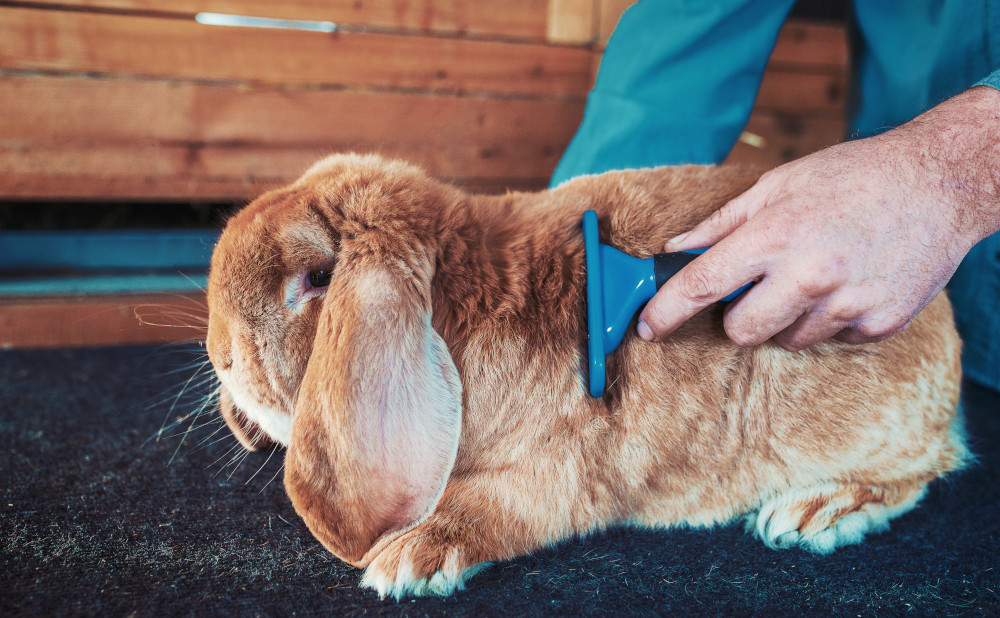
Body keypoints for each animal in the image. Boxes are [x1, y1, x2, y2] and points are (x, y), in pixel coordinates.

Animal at [205, 152, 968, 599]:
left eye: (316, 279)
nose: (221, 356)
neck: (464, 297)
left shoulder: (568, 467)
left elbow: (496, 507)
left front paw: (406, 559)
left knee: (923, 472)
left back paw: (815, 514)